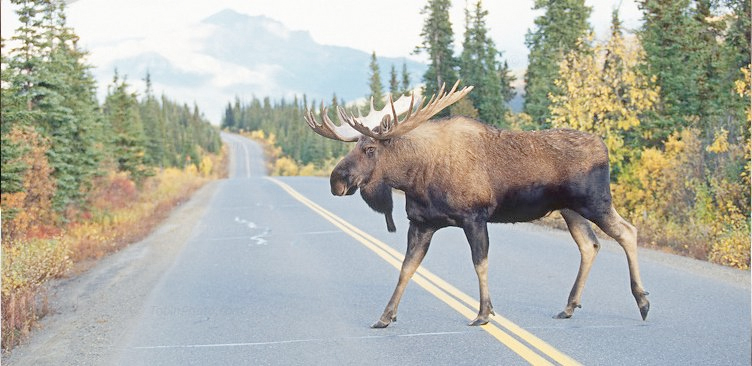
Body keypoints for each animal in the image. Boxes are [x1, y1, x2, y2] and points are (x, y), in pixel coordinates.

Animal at [302, 81, 648, 328]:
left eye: (370, 149)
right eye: (357, 146)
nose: (336, 180)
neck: (415, 177)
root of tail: (604, 147)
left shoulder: (474, 217)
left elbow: (479, 263)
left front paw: (483, 313)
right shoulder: (421, 223)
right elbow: (406, 269)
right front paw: (385, 316)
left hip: (595, 201)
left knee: (628, 231)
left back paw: (642, 301)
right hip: (570, 209)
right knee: (590, 245)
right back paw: (569, 306)